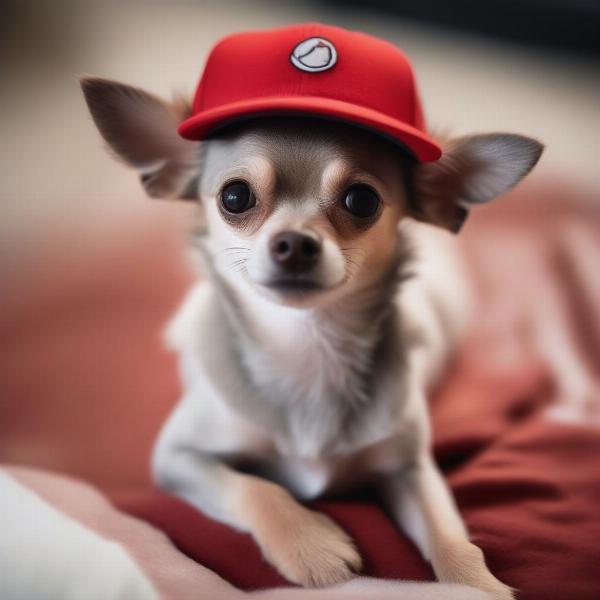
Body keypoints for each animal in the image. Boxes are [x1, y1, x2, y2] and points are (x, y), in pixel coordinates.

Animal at [83, 23, 544, 600]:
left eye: (362, 201)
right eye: (235, 196)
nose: (294, 244)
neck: (308, 345)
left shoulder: (412, 470)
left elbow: (451, 537)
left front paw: (478, 584)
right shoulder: (177, 457)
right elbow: (254, 487)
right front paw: (312, 548)